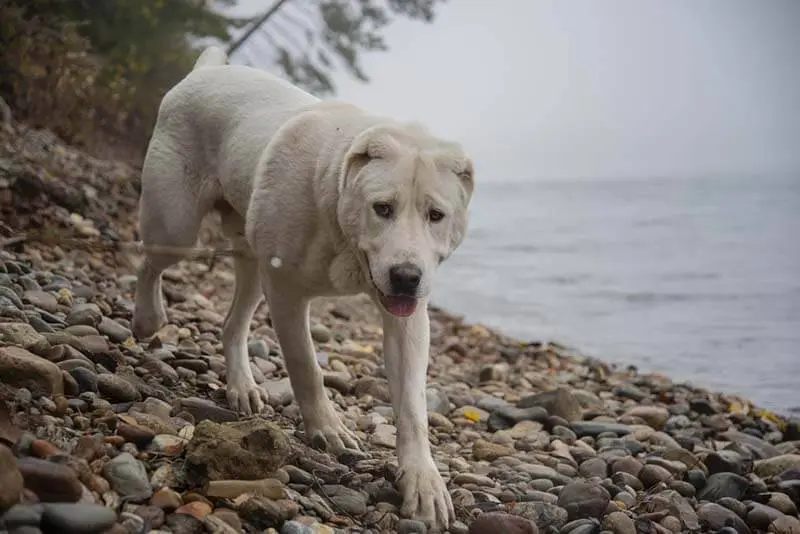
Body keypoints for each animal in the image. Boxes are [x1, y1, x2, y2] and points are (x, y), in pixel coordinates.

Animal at [131, 47, 476, 532]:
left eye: (436, 215)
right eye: (382, 208)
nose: (407, 275)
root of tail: (207, 69)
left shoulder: (407, 320)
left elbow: (411, 405)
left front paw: (422, 481)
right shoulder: (287, 292)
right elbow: (305, 366)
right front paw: (327, 430)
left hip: (249, 258)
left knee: (233, 323)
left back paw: (242, 385)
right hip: (175, 226)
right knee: (150, 262)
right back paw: (147, 319)